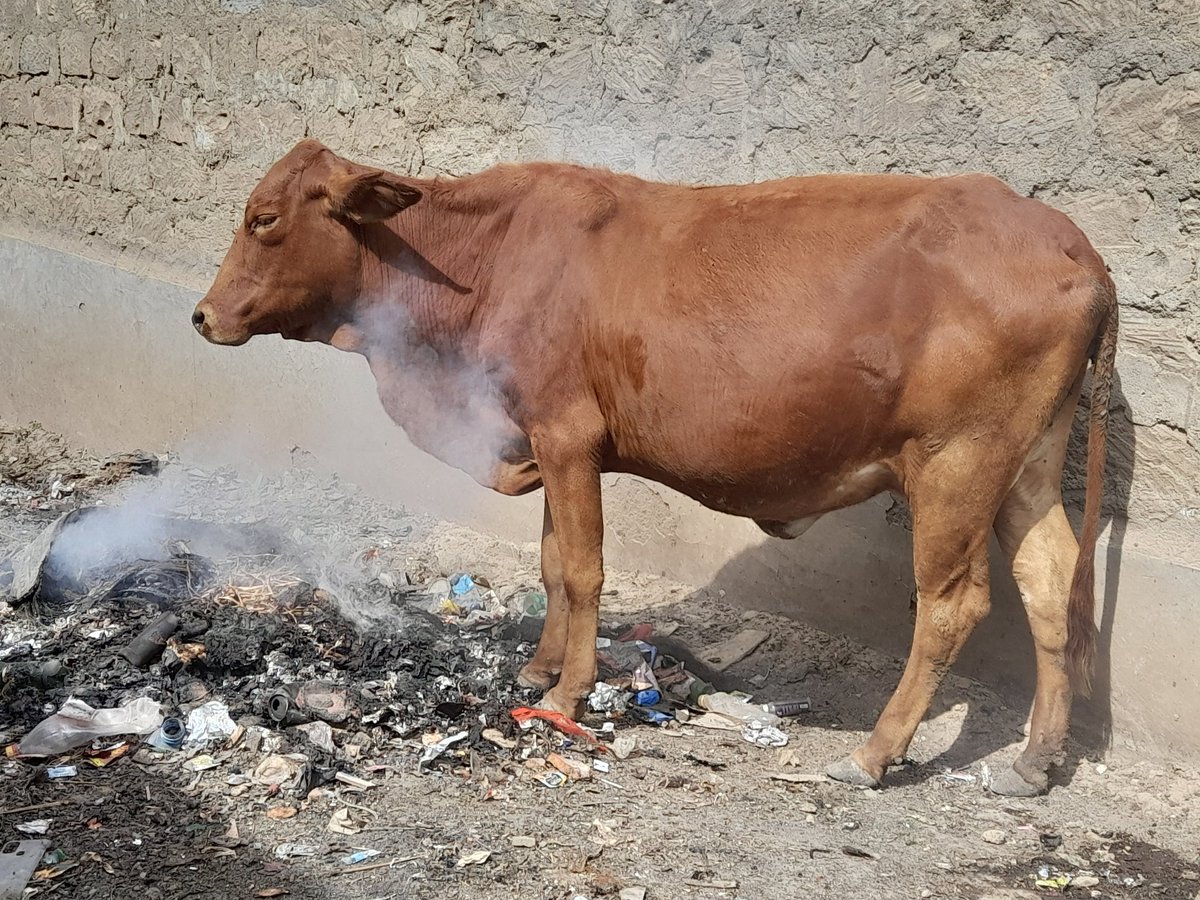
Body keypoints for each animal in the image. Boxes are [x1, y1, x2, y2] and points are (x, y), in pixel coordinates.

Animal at [192, 139, 1117, 797]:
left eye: (264, 218)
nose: (201, 316)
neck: (484, 259)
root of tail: (1071, 244)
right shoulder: (549, 438)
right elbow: (552, 563)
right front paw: (536, 667)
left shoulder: (567, 436)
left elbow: (584, 569)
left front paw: (565, 693)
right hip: (1026, 466)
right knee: (1049, 584)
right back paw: (1034, 762)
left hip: (956, 463)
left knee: (954, 604)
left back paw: (874, 753)